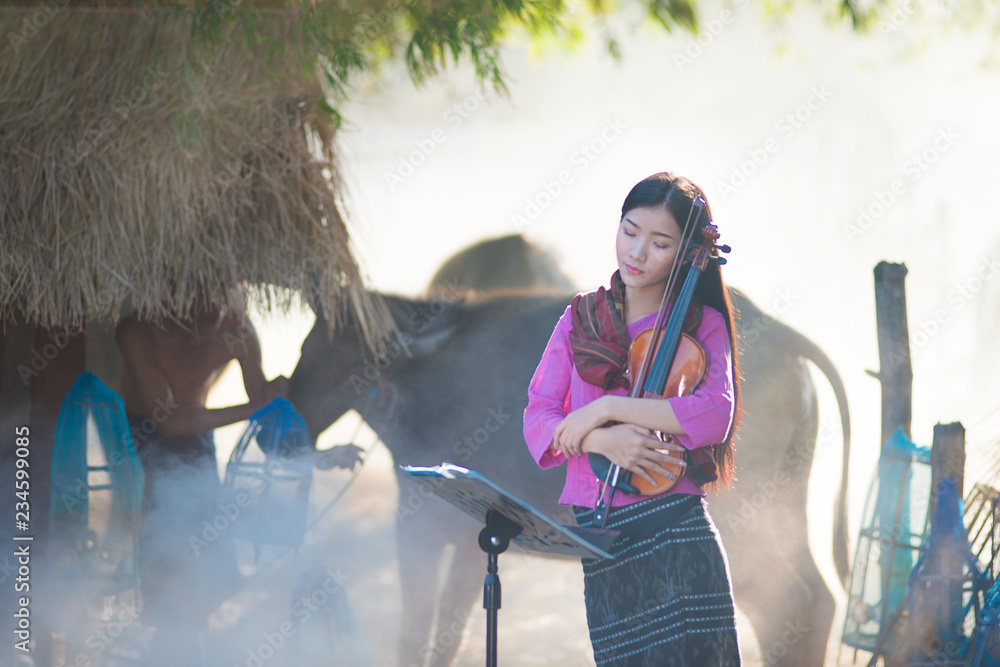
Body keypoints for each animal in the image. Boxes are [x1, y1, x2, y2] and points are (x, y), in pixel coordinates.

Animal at [290, 237, 852, 664]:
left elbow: (422, 632)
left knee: (783, 602)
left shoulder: (425, 525)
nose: (292, 419)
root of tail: (783, 336)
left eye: (355, 360)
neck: (428, 376)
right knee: (814, 601)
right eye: (307, 347)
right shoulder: (469, 526)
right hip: (785, 504)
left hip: (743, 522)